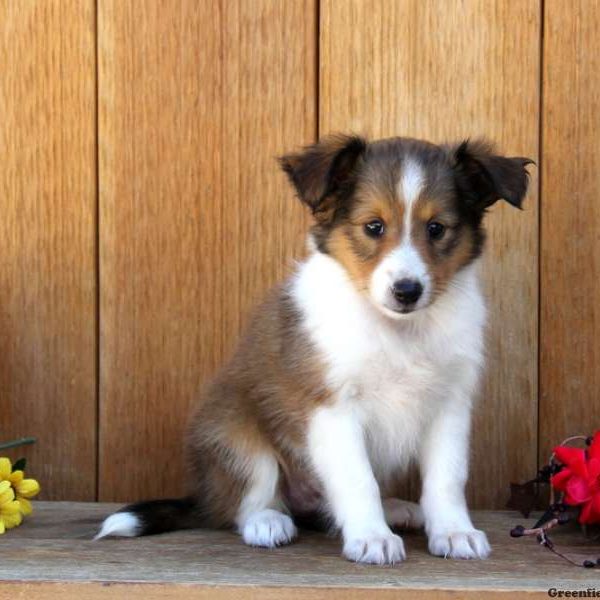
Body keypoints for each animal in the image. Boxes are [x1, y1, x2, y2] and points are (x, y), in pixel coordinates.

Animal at [96, 132, 532, 564]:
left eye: (437, 228)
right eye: (374, 226)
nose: (407, 291)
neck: (398, 330)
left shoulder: (449, 403)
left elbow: (447, 478)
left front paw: (455, 533)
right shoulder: (331, 407)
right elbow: (358, 479)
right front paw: (372, 538)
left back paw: (395, 509)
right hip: (234, 431)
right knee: (247, 499)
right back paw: (268, 521)